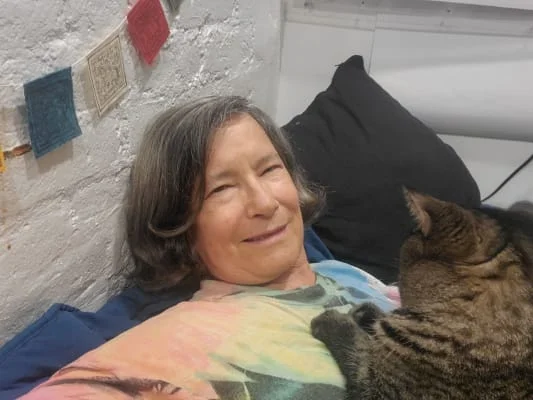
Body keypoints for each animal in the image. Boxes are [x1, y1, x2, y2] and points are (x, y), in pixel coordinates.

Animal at [311, 188, 533, 399]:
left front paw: (332, 320)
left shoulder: (378, 390)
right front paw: (368, 313)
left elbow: (356, 348)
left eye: (401, 273)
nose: (395, 284)